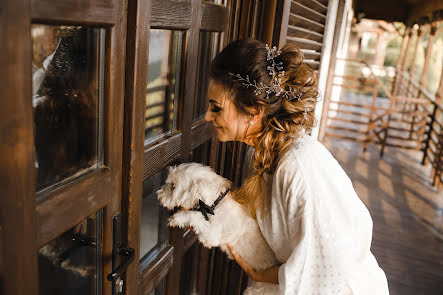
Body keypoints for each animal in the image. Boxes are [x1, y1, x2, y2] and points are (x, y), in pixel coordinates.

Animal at [158, 163, 280, 294]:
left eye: (173, 186)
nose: (158, 194)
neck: (215, 205)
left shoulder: (211, 236)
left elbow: (195, 215)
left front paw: (178, 218)